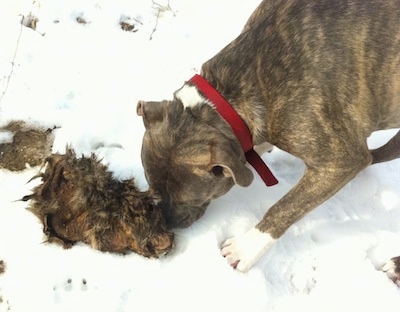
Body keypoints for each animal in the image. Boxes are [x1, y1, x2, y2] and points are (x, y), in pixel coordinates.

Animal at [137, 0, 400, 276]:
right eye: (153, 190)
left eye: (189, 200)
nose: (168, 223)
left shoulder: (340, 161)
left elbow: (284, 208)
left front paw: (245, 248)